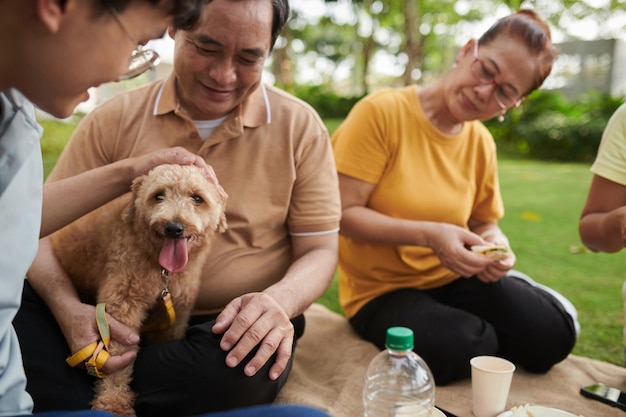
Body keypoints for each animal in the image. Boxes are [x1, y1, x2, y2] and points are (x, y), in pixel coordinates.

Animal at [50, 164, 227, 414]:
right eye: (158, 196)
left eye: (197, 198)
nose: (174, 228)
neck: (162, 271)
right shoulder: (122, 307)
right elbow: (117, 359)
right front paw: (113, 402)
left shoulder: (175, 313)